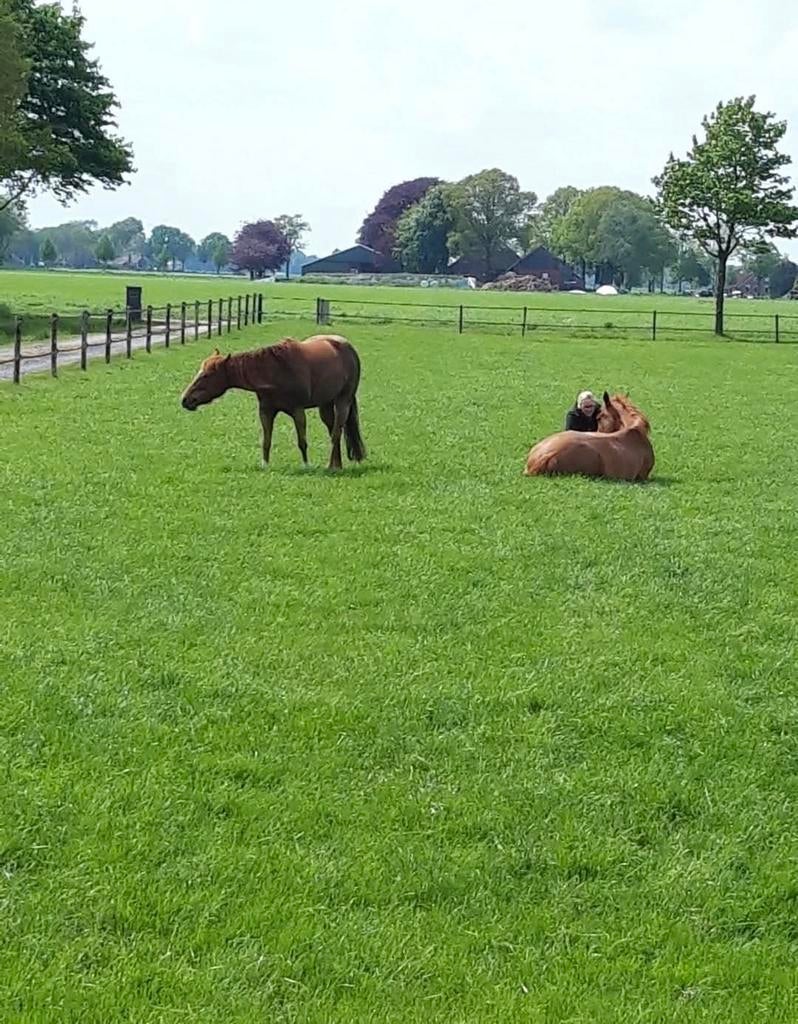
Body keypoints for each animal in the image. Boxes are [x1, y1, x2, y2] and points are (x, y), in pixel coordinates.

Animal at [181, 335, 366, 471]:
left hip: (343, 401)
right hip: (325, 405)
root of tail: (347, 346)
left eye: (206, 375)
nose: (185, 400)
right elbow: (266, 441)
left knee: (336, 432)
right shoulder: (266, 411)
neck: (275, 370)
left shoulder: (298, 411)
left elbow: (302, 441)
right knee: (333, 430)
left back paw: (331, 466)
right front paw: (265, 466)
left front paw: (306, 465)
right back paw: (337, 465)